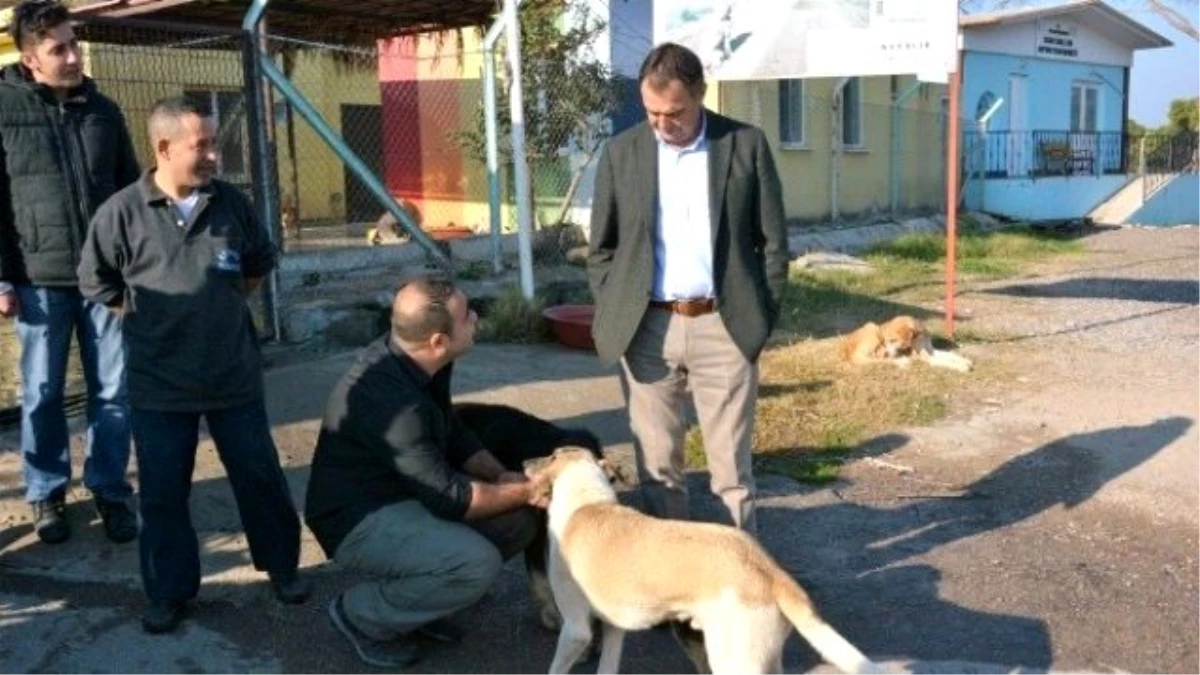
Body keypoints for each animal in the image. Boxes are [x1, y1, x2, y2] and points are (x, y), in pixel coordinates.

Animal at [528, 446, 883, 672]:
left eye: (551, 454)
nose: (524, 461)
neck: (586, 501)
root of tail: (770, 571)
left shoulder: (576, 630)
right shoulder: (614, 628)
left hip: (734, 661)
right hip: (763, 660)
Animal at [840, 312, 969, 369]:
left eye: (893, 340)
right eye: (886, 340)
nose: (887, 352)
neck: (919, 336)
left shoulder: (931, 350)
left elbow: (950, 355)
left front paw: (965, 361)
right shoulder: (924, 356)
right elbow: (945, 361)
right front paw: (962, 367)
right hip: (873, 328)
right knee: (871, 360)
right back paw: (900, 361)